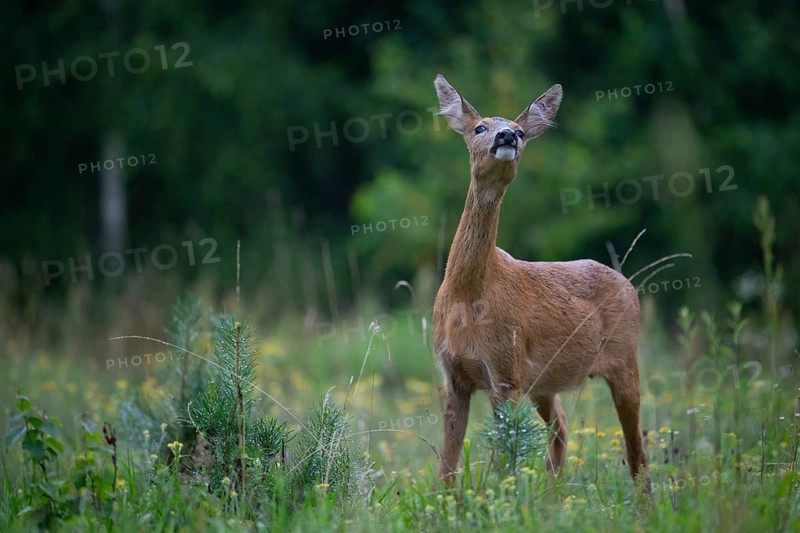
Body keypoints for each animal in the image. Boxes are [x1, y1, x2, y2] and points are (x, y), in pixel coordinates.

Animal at [431, 74, 649, 490]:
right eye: (479, 127)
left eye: (520, 131)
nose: (506, 136)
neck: (468, 294)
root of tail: (627, 283)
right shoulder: (453, 374)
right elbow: (447, 465)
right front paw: (445, 502)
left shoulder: (505, 371)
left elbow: (504, 455)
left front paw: (499, 496)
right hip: (545, 383)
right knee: (562, 427)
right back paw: (551, 494)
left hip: (625, 357)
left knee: (636, 451)